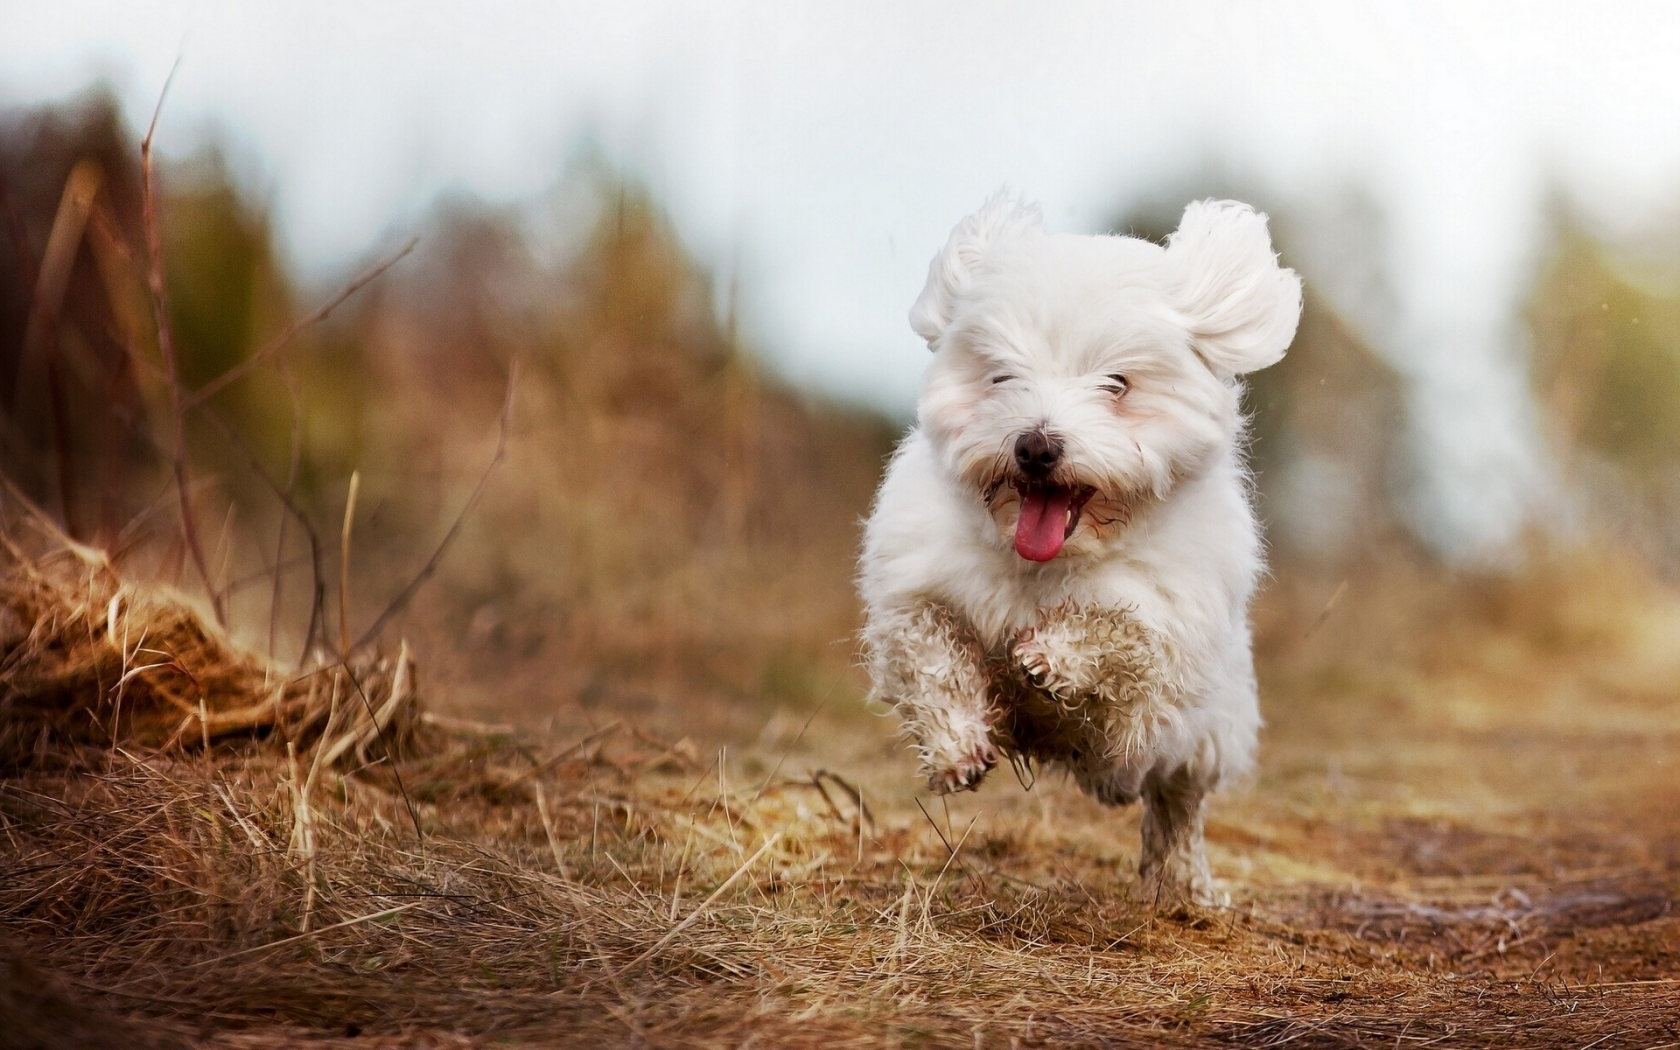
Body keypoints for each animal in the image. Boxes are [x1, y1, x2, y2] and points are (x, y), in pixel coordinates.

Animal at [860, 194, 1303, 900]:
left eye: (1116, 384)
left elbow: (1120, 634)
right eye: (1002, 376)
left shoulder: (1165, 633)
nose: (1036, 445)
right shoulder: (916, 587)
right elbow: (931, 656)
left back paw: (1184, 885)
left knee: (1178, 806)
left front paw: (1051, 659)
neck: (1050, 563)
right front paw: (957, 747)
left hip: (1209, 733)